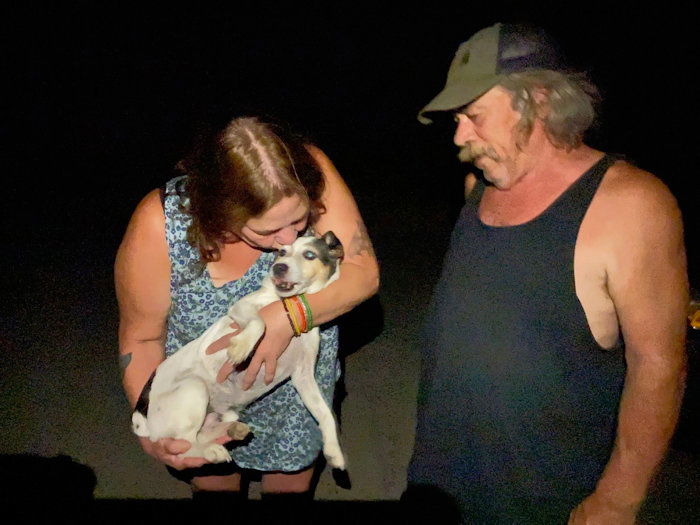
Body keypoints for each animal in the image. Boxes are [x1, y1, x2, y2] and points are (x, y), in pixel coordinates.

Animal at [131, 231, 346, 469]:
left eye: (309, 254)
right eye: (282, 252)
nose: (278, 267)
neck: (284, 302)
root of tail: (141, 418)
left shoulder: (303, 376)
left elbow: (326, 415)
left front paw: (333, 450)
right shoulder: (241, 308)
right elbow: (260, 322)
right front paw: (241, 347)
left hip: (216, 413)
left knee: (201, 436)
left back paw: (231, 431)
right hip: (194, 387)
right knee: (185, 446)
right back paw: (212, 452)